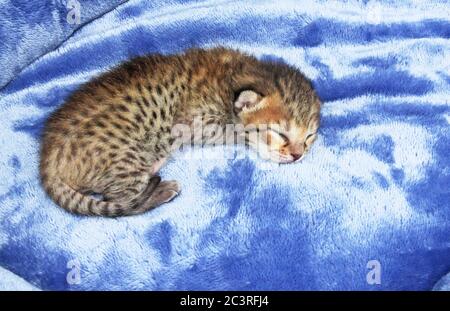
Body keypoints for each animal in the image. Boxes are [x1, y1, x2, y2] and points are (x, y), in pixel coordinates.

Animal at [38, 47, 320, 217]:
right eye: (281, 134)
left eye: (309, 137)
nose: (298, 155)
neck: (233, 76)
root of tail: (47, 160)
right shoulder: (194, 123)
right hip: (129, 158)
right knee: (122, 200)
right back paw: (160, 187)